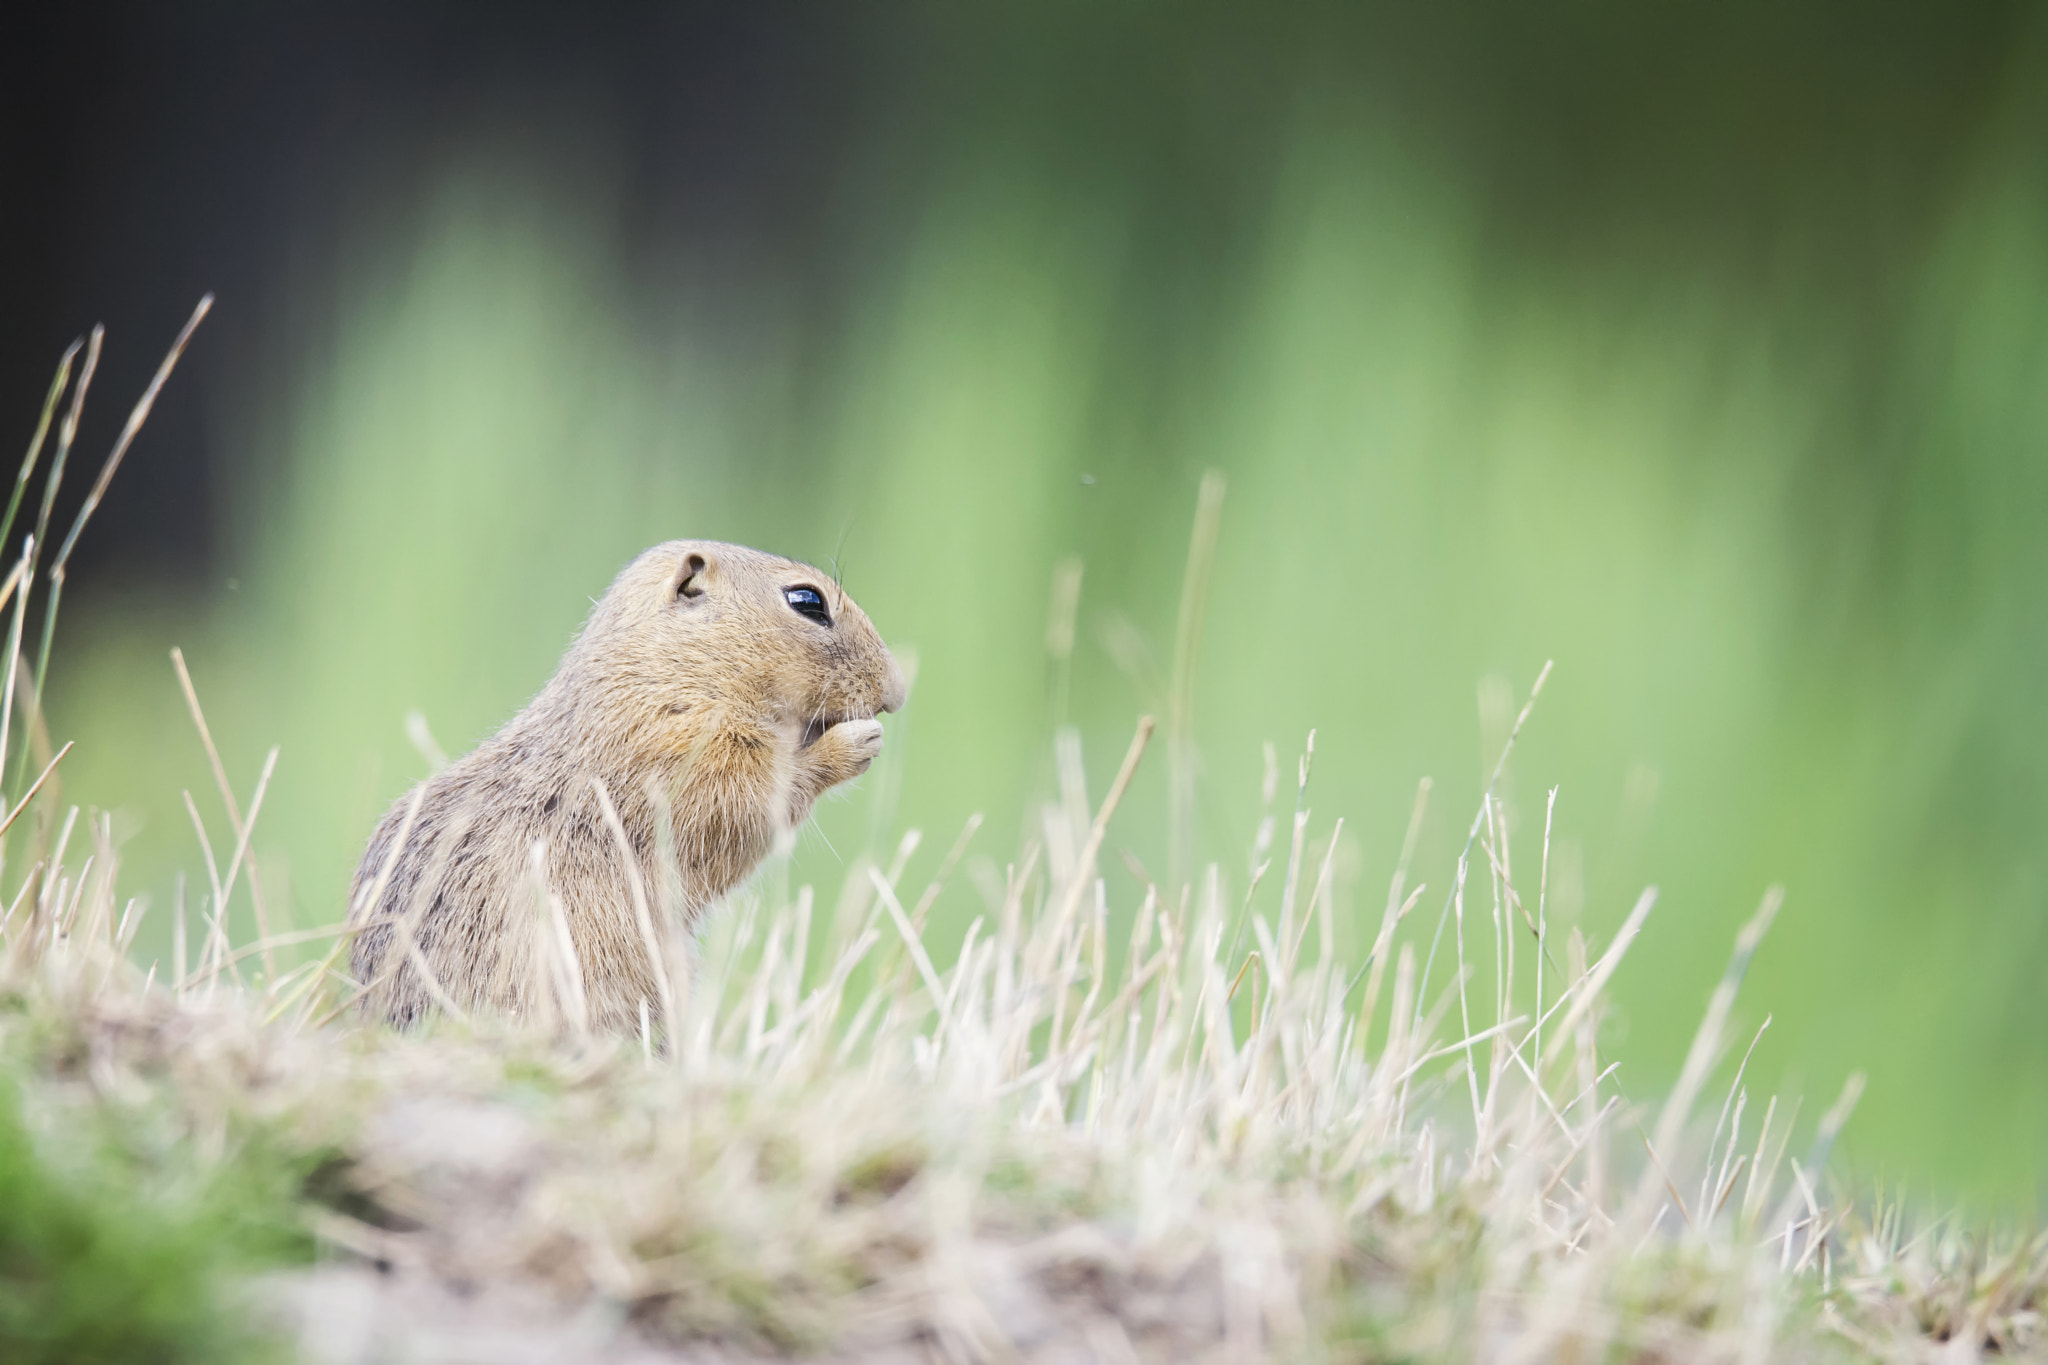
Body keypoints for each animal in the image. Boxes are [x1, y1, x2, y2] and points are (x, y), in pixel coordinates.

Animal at [346, 540, 906, 1033]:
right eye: (807, 601)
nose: (898, 692)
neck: (664, 675)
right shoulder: (680, 754)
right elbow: (751, 798)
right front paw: (855, 743)